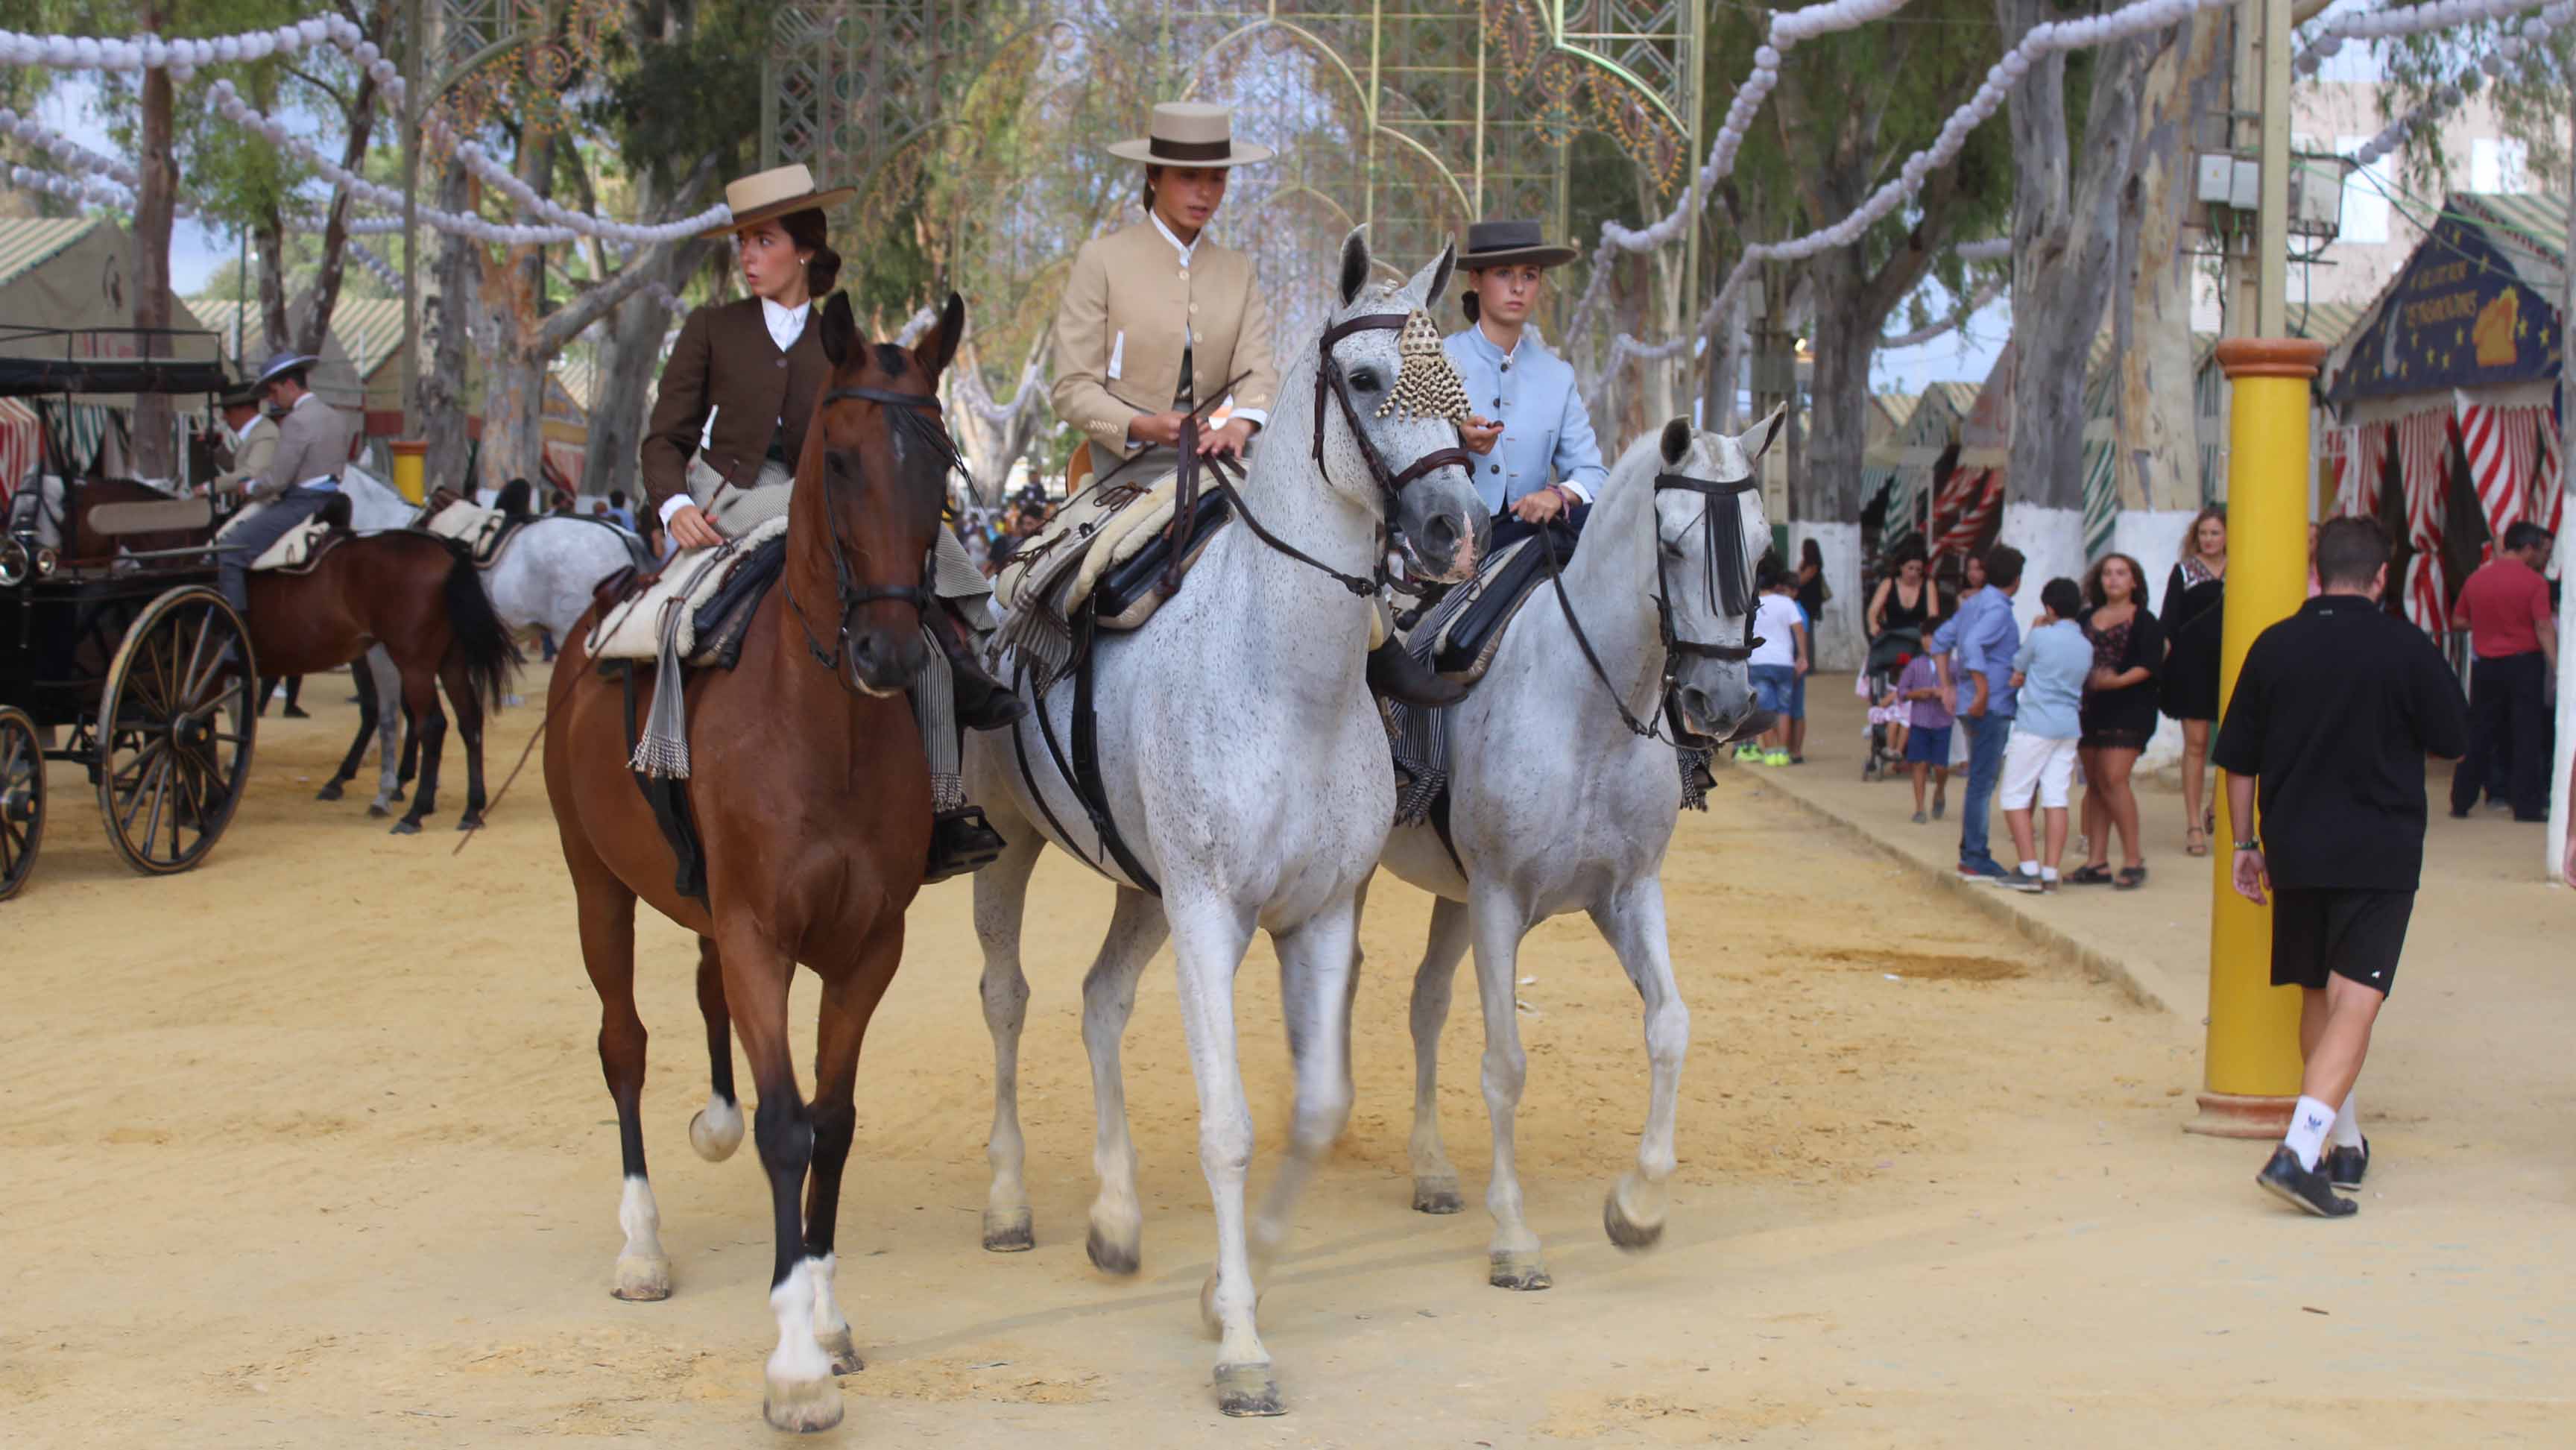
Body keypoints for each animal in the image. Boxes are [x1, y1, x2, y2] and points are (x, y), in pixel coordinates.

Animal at [1, 330, 257, 901]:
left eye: (54, 510)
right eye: (14, 506)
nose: (25, 559)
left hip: (192, 666)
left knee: (195, 728)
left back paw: (194, 808)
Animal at [538, 289, 963, 1431]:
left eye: (943, 462)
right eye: (841, 460)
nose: (889, 652)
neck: (825, 724)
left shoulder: (871, 946)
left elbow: (835, 1121)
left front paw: (826, 1314)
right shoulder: (760, 934)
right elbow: (785, 1128)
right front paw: (795, 1365)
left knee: (699, 997)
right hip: (597, 889)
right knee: (624, 1044)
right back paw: (641, 1248)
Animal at [1380, 412, 1782, 1293]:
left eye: (1765, 545)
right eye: (1672, 544)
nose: (1723, 702)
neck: (1589, 707)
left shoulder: (1628, 893)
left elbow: (1670, 1025)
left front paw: (1637, 1208)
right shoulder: (1499, 901)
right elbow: (1506, 1064)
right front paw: (1514, 1238)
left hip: (1454, 897)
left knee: (1425, 1003)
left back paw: (1430, 1170)